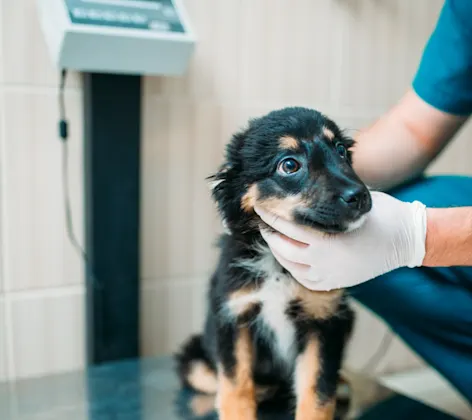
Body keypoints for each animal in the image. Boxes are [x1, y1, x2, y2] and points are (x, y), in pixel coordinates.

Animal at [174, 107, 372, 420]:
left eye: (340, 150)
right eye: (289, 165)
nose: (361, 196)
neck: (277, 264)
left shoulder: (324, 320)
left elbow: (318, 393)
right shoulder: (233, 316)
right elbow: (235, 386)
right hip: (194, 358)